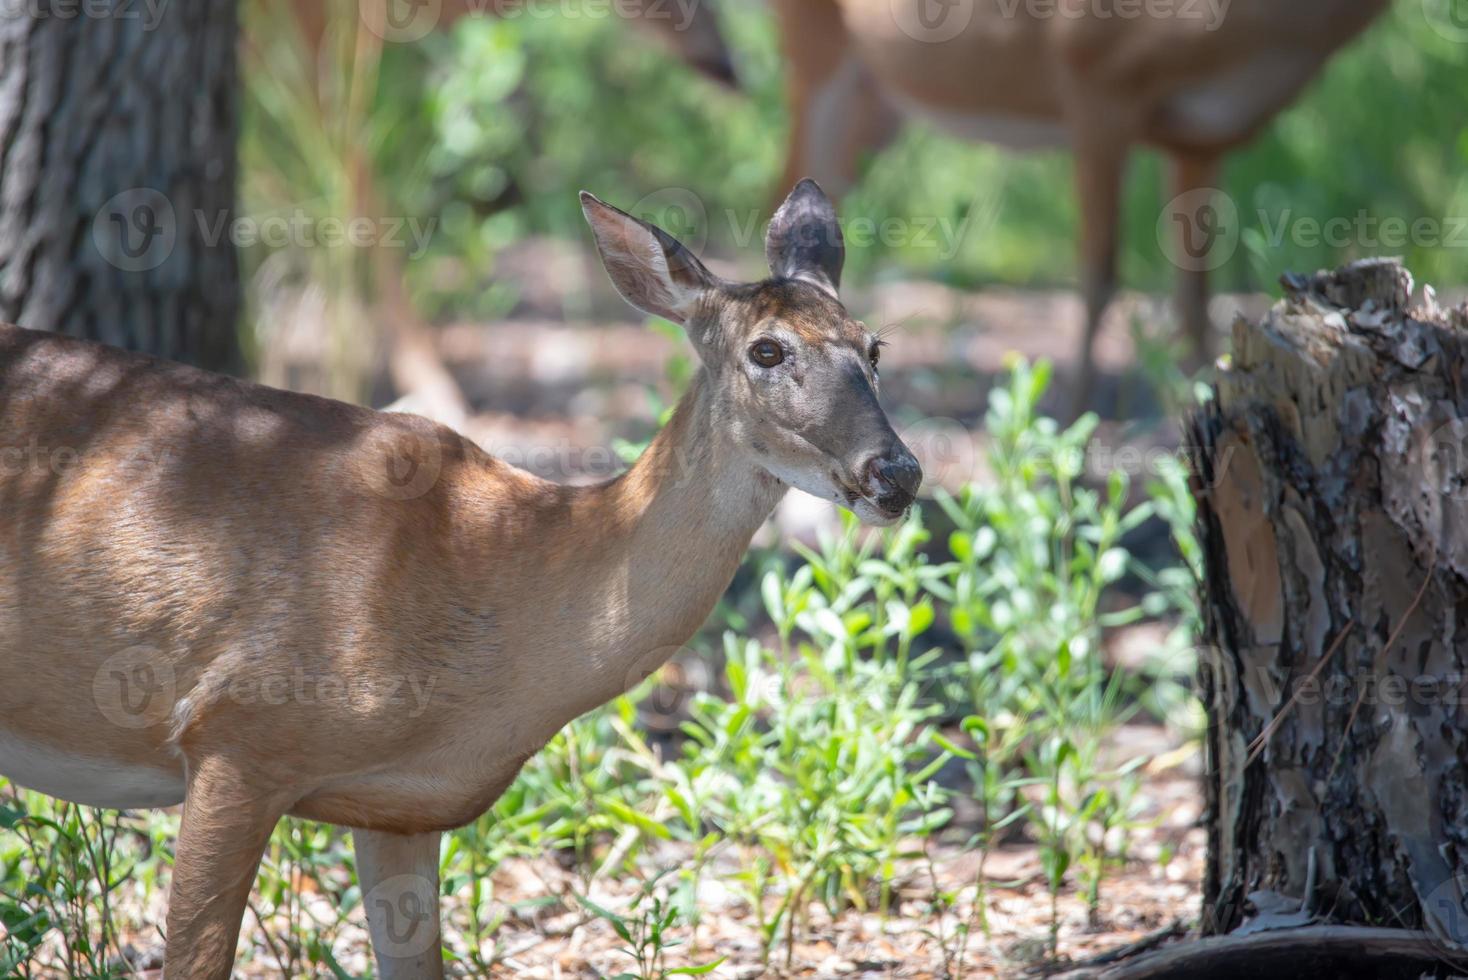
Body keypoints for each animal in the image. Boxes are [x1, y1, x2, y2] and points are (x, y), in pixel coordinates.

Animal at [775, 0, 1391, 407]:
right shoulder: (1094, 76)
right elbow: (1099, 275)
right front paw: (1073, 425)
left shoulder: (1199, 139)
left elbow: (1195, 296)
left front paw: (1202, 408)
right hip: (819, 57)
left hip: (875, 103)